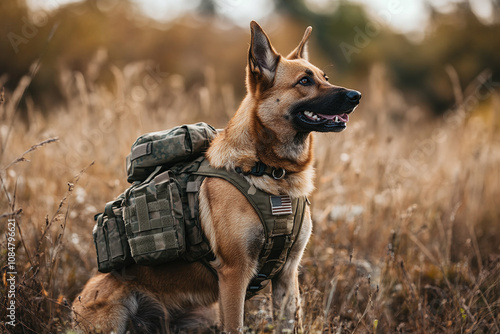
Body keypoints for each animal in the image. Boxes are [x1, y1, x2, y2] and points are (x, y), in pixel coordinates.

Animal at [72, 21, 360, 334]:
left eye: (324, 77)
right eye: (304, 81)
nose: (356, 96)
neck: (269, 170)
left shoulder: (287, 274)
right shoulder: (235, 275)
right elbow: (236, 325)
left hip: (205, 314)